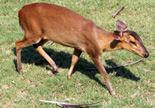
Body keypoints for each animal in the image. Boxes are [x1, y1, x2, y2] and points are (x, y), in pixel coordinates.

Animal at [15, 2, 149, 95]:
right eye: (132, 42)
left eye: (140, 39)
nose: (146, 54)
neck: (100, 40)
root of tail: (20, 12)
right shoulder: (93, 51)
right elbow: (104, 72)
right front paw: (112, 91)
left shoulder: (79, 46)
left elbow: (74, 60)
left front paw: (68, 76)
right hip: (32, 31)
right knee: (18, 43)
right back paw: (20, 70)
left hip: (43, 35)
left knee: (36, 45)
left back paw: (55, 68)